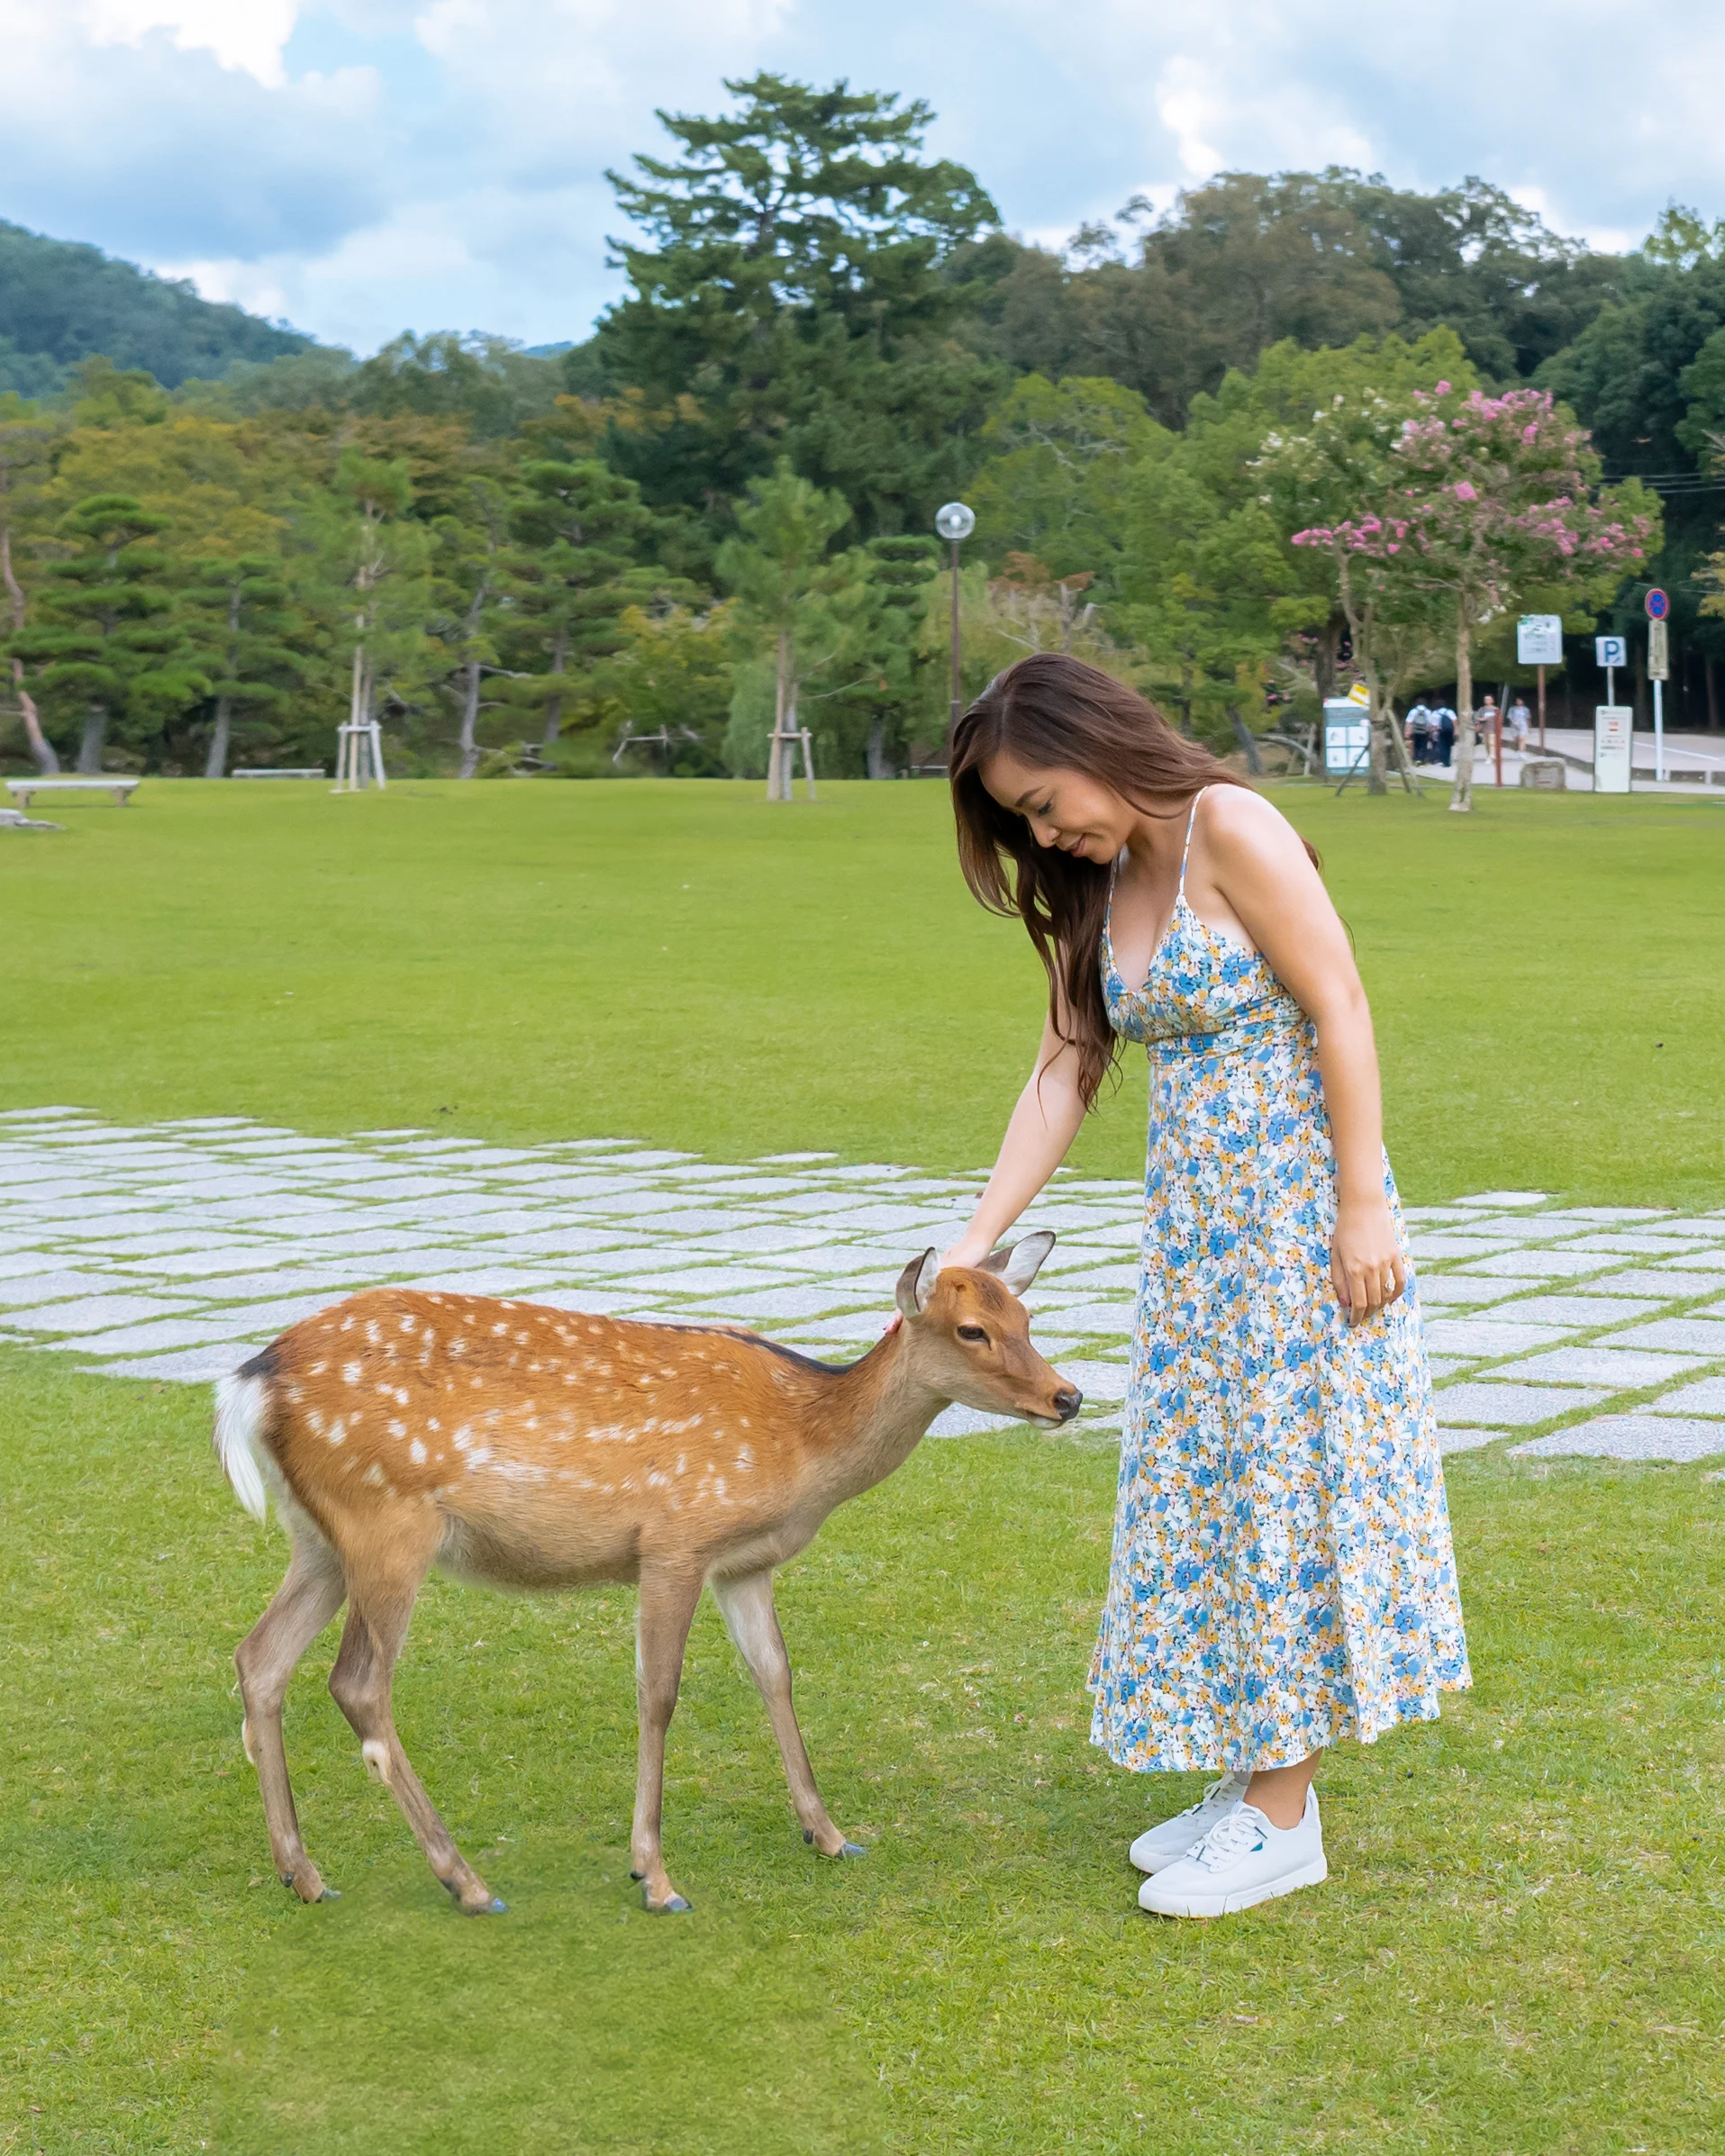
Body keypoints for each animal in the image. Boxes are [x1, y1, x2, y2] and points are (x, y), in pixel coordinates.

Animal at [213, 1234, 1079, 1917]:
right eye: (972, 1330)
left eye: (1027, 1319)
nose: (1066, 1397)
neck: (801, 1446)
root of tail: (254, 1380)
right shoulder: (676, 1538)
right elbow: (658, 1694)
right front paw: (654, 1877)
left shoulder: (744, 1564)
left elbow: (775, 1673)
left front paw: (829, 1835)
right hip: (388, 1522)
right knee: (357, 1682)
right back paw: (465, 1881)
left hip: (320, 1538)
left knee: (260, 1658)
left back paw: (302, 1873)